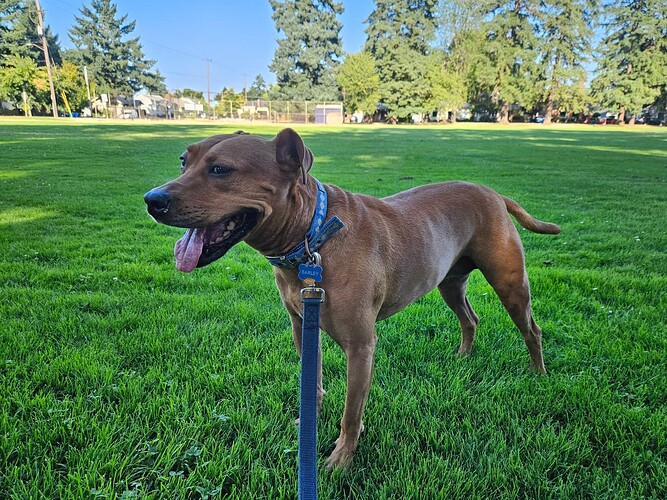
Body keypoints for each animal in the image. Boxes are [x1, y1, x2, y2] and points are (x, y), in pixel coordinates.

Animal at [145, 128, 560, 468]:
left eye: (220, 170)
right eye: (184, 161)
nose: (152, 199)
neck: (313, 238)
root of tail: (495, 194)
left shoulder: (361, 346)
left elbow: (351, 412)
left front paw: (341, 457)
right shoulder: (303, 329)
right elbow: (312, 384)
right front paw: (308, 423)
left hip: (510, 283)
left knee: (532, 330)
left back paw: (539, 375)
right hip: (450, 282)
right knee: (470, 318)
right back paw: (463, 356)